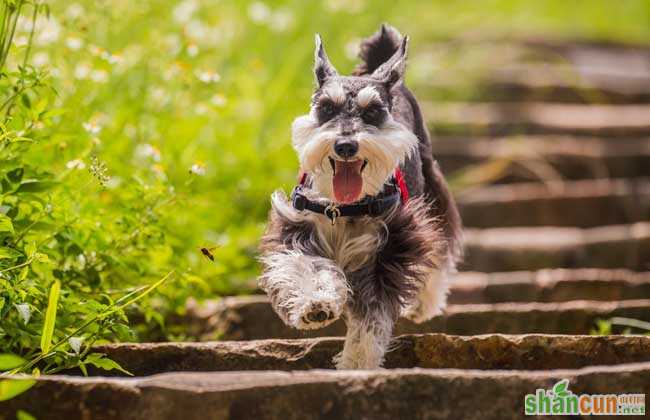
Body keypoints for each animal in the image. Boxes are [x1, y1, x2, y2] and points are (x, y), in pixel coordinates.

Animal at [258, 24, 460, 370]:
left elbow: (372, 316)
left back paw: (425, 303)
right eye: (326, 108)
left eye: (374, 112)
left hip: (433, 190)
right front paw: (315, 304)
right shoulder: (297, 229)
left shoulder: (389, 250)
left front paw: (358, 362)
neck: (344, 207)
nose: (345, 145)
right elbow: (307, 266)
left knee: (441, 246)